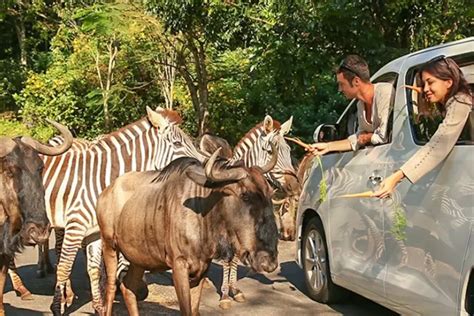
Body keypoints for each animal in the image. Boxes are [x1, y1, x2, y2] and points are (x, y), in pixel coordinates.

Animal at [36, 107, 206, 314]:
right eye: (177, 143)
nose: (204, 169)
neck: (102, 177)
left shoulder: (94, 231)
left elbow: (93, 268)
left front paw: (99, 307)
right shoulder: (76, 225)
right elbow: (64, 267)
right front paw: (57, 307)